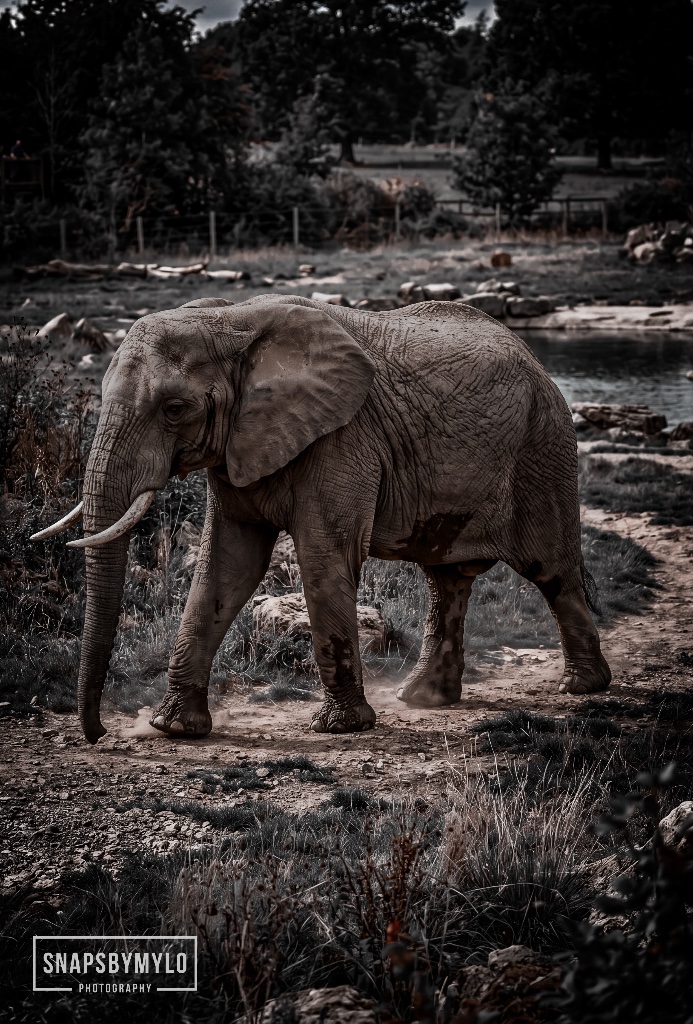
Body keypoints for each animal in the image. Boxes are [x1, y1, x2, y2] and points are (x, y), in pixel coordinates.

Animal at [34, 294, 611, 744]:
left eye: (174, 409)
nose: (97, 734)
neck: (229, 321)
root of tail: (536, 360)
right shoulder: (239, 446)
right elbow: (228, 565)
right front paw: (174, 728)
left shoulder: (343, 438)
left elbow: (321, 555)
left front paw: (341, 727)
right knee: (446, 578)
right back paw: (425, 698)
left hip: (543, 448)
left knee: (552, 570)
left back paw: (582, 687)